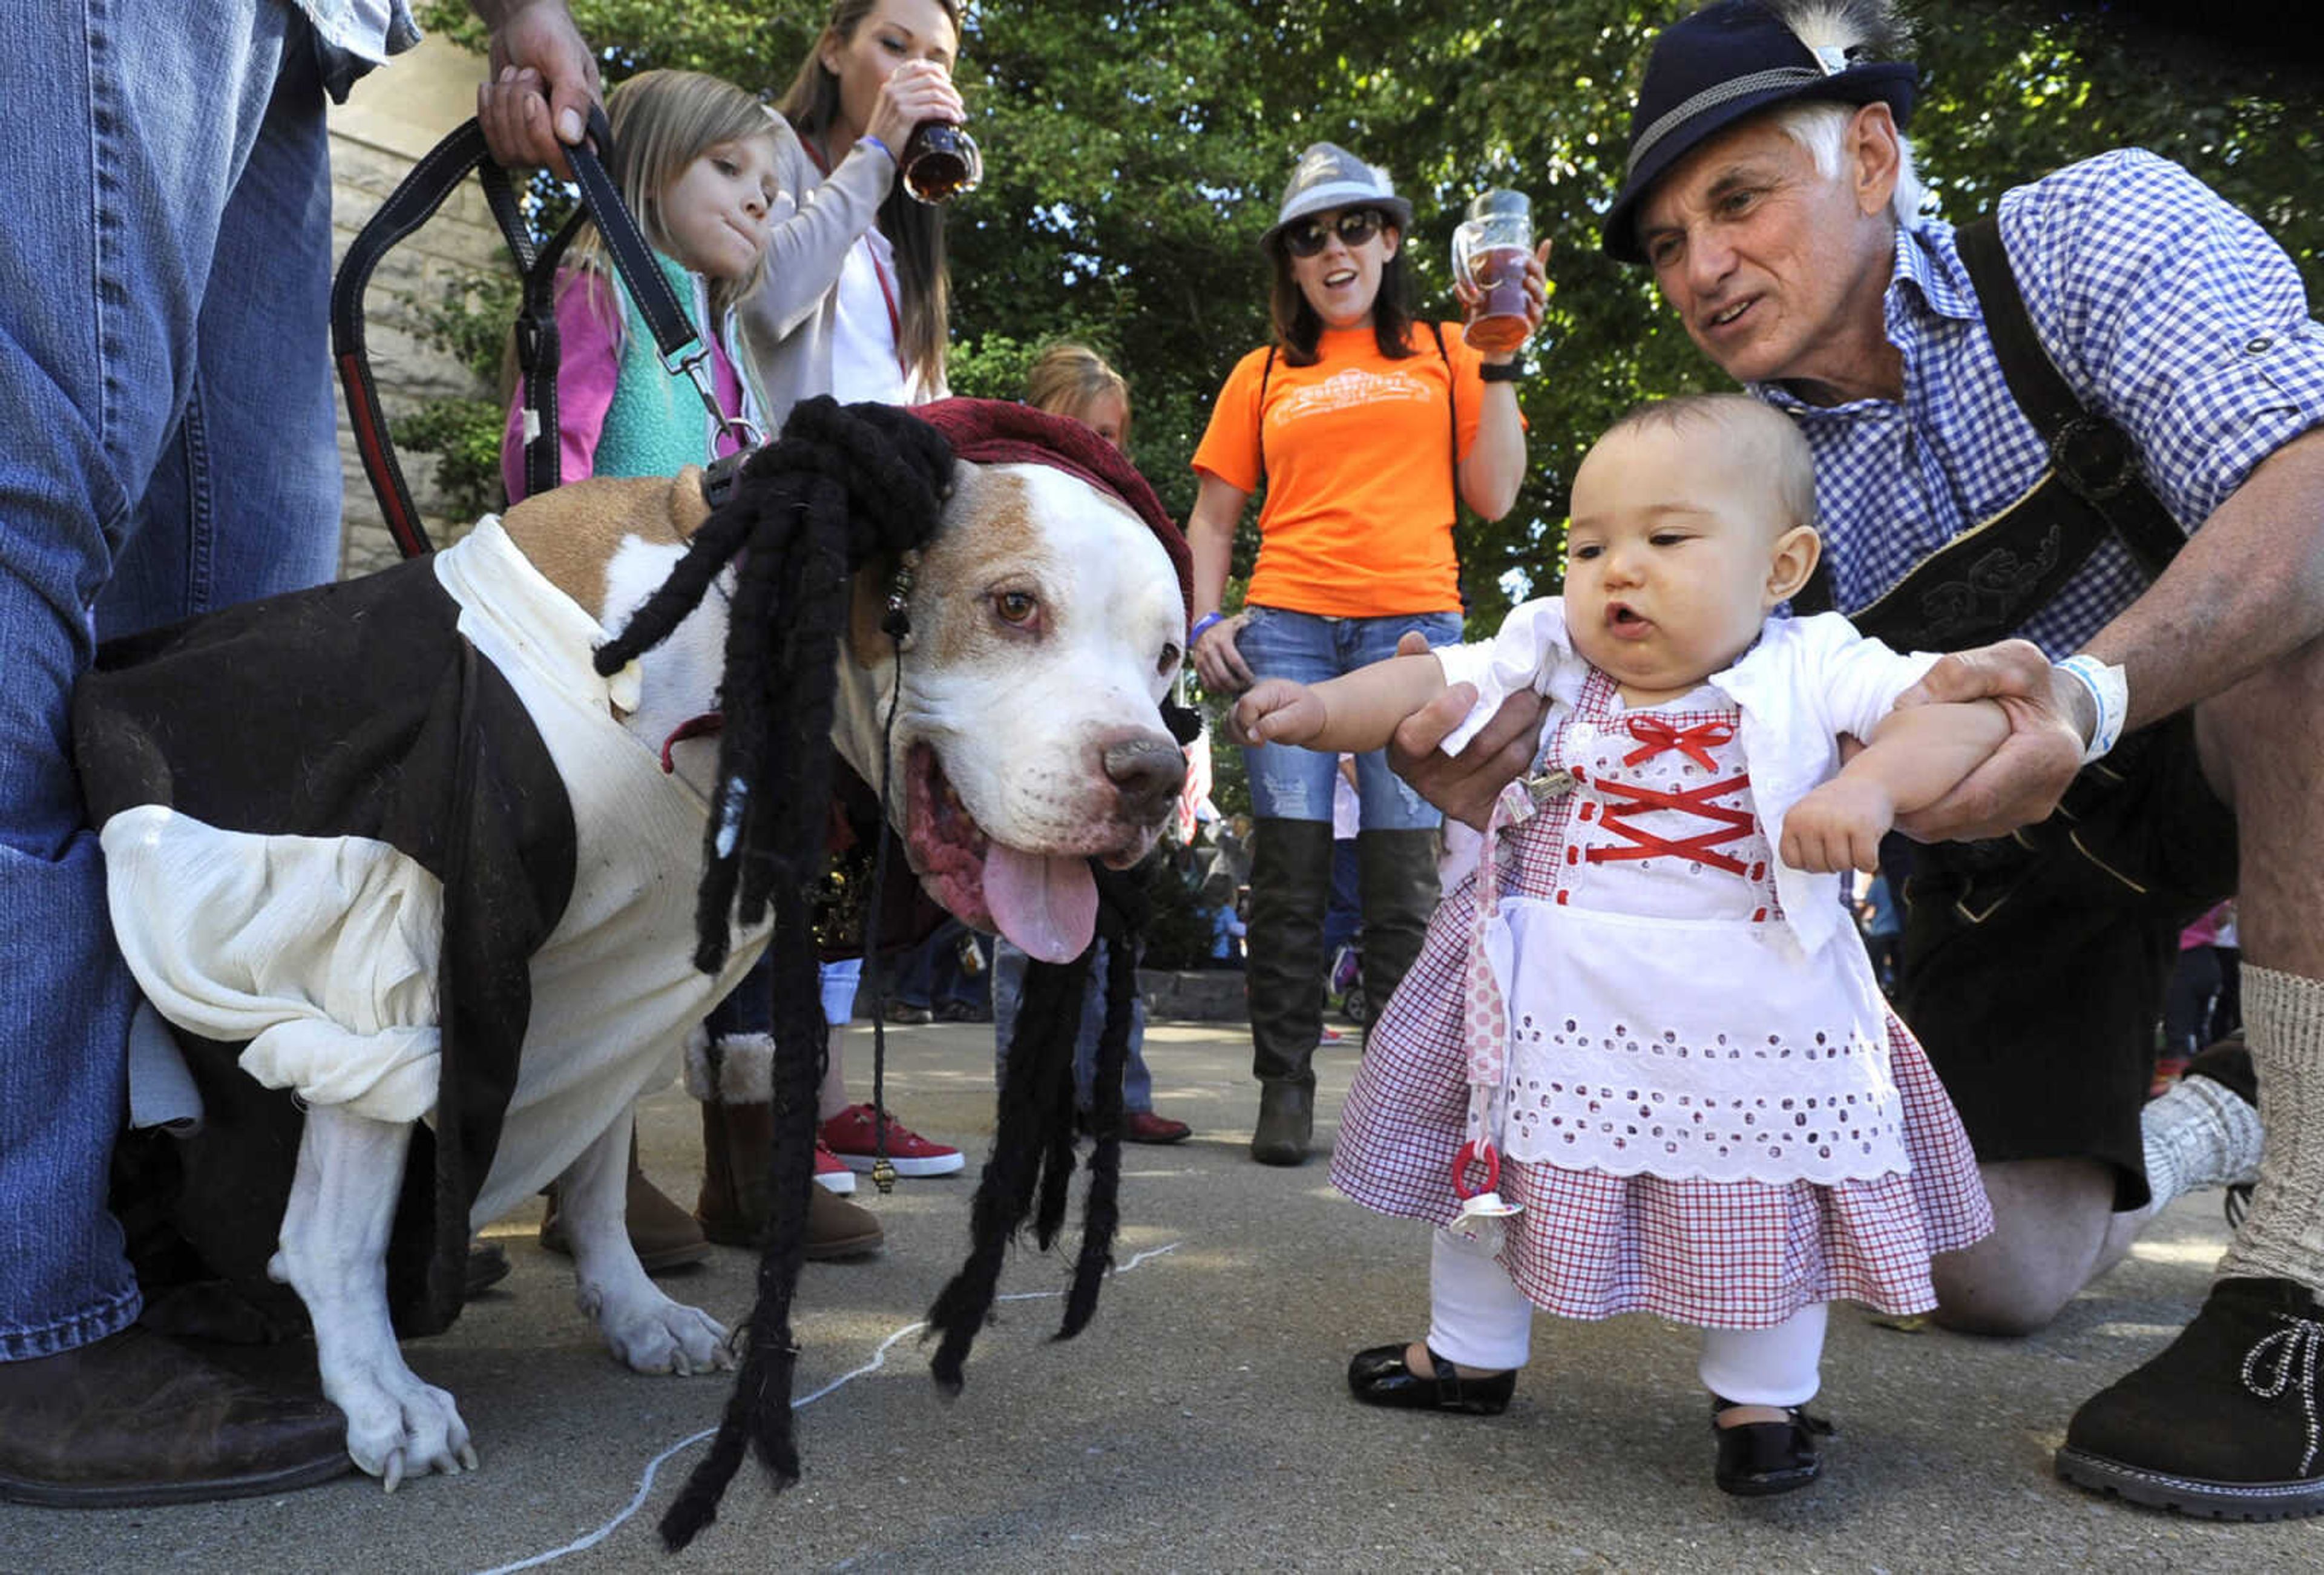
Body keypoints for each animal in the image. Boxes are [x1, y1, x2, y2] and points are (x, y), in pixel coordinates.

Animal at [79, 395, 1190, 1496]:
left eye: (1169, 656)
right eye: (1015, 606)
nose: (1155, 774)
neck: (715, 660)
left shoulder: (625, 971)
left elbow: (599, 1167)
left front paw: (633, 1309)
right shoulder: (382, 935)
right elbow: (339, 1228)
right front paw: (378, 1391)